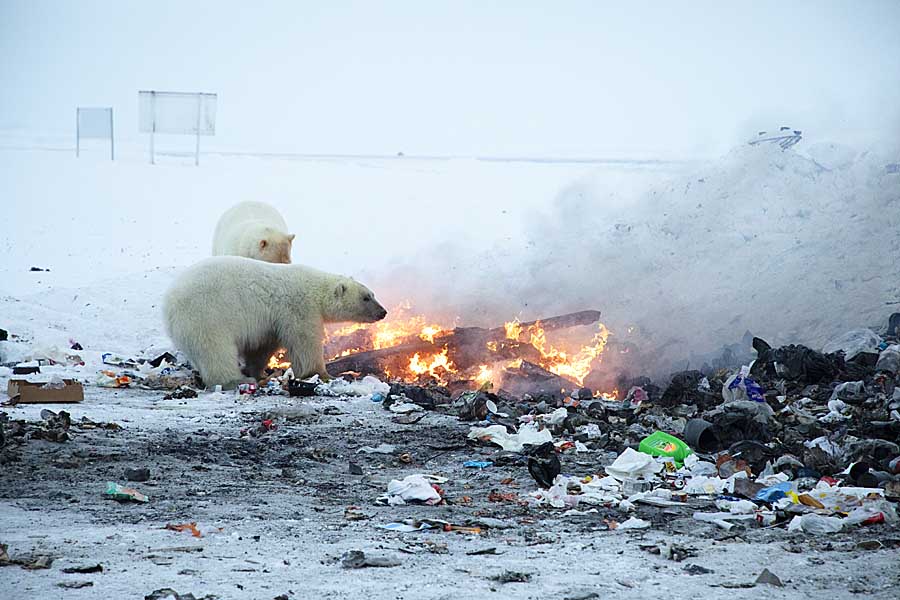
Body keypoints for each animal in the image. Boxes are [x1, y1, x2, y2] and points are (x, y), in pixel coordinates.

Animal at [163, 256, 386, 390]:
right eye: (366, 297)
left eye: (373, 294)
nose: (383, 312)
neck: (314, 289)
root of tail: (169, 304)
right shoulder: (297, 308)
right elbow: (304, 341)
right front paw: (321, 373)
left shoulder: (270, 321)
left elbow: (262, 346)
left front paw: (258, 369)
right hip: (207, 315)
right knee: (215, 350)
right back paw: (236, 379)